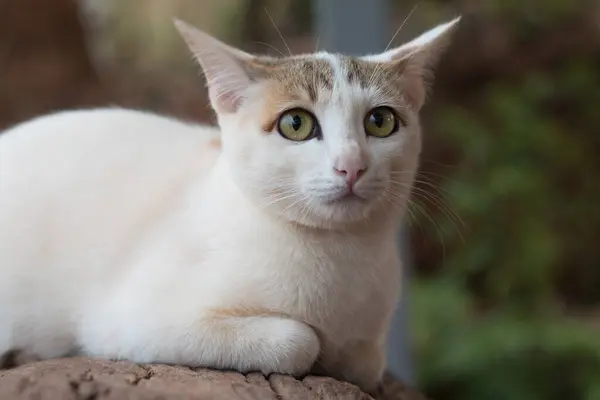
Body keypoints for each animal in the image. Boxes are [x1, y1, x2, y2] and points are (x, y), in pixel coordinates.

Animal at [0, 16, 460, 394]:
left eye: (380, 122)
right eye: (296, 124)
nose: (351, 166)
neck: (337, 259)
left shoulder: (370, 337)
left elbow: (364, 360)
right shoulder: (126, 321)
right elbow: (299, 340)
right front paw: (314, 346)